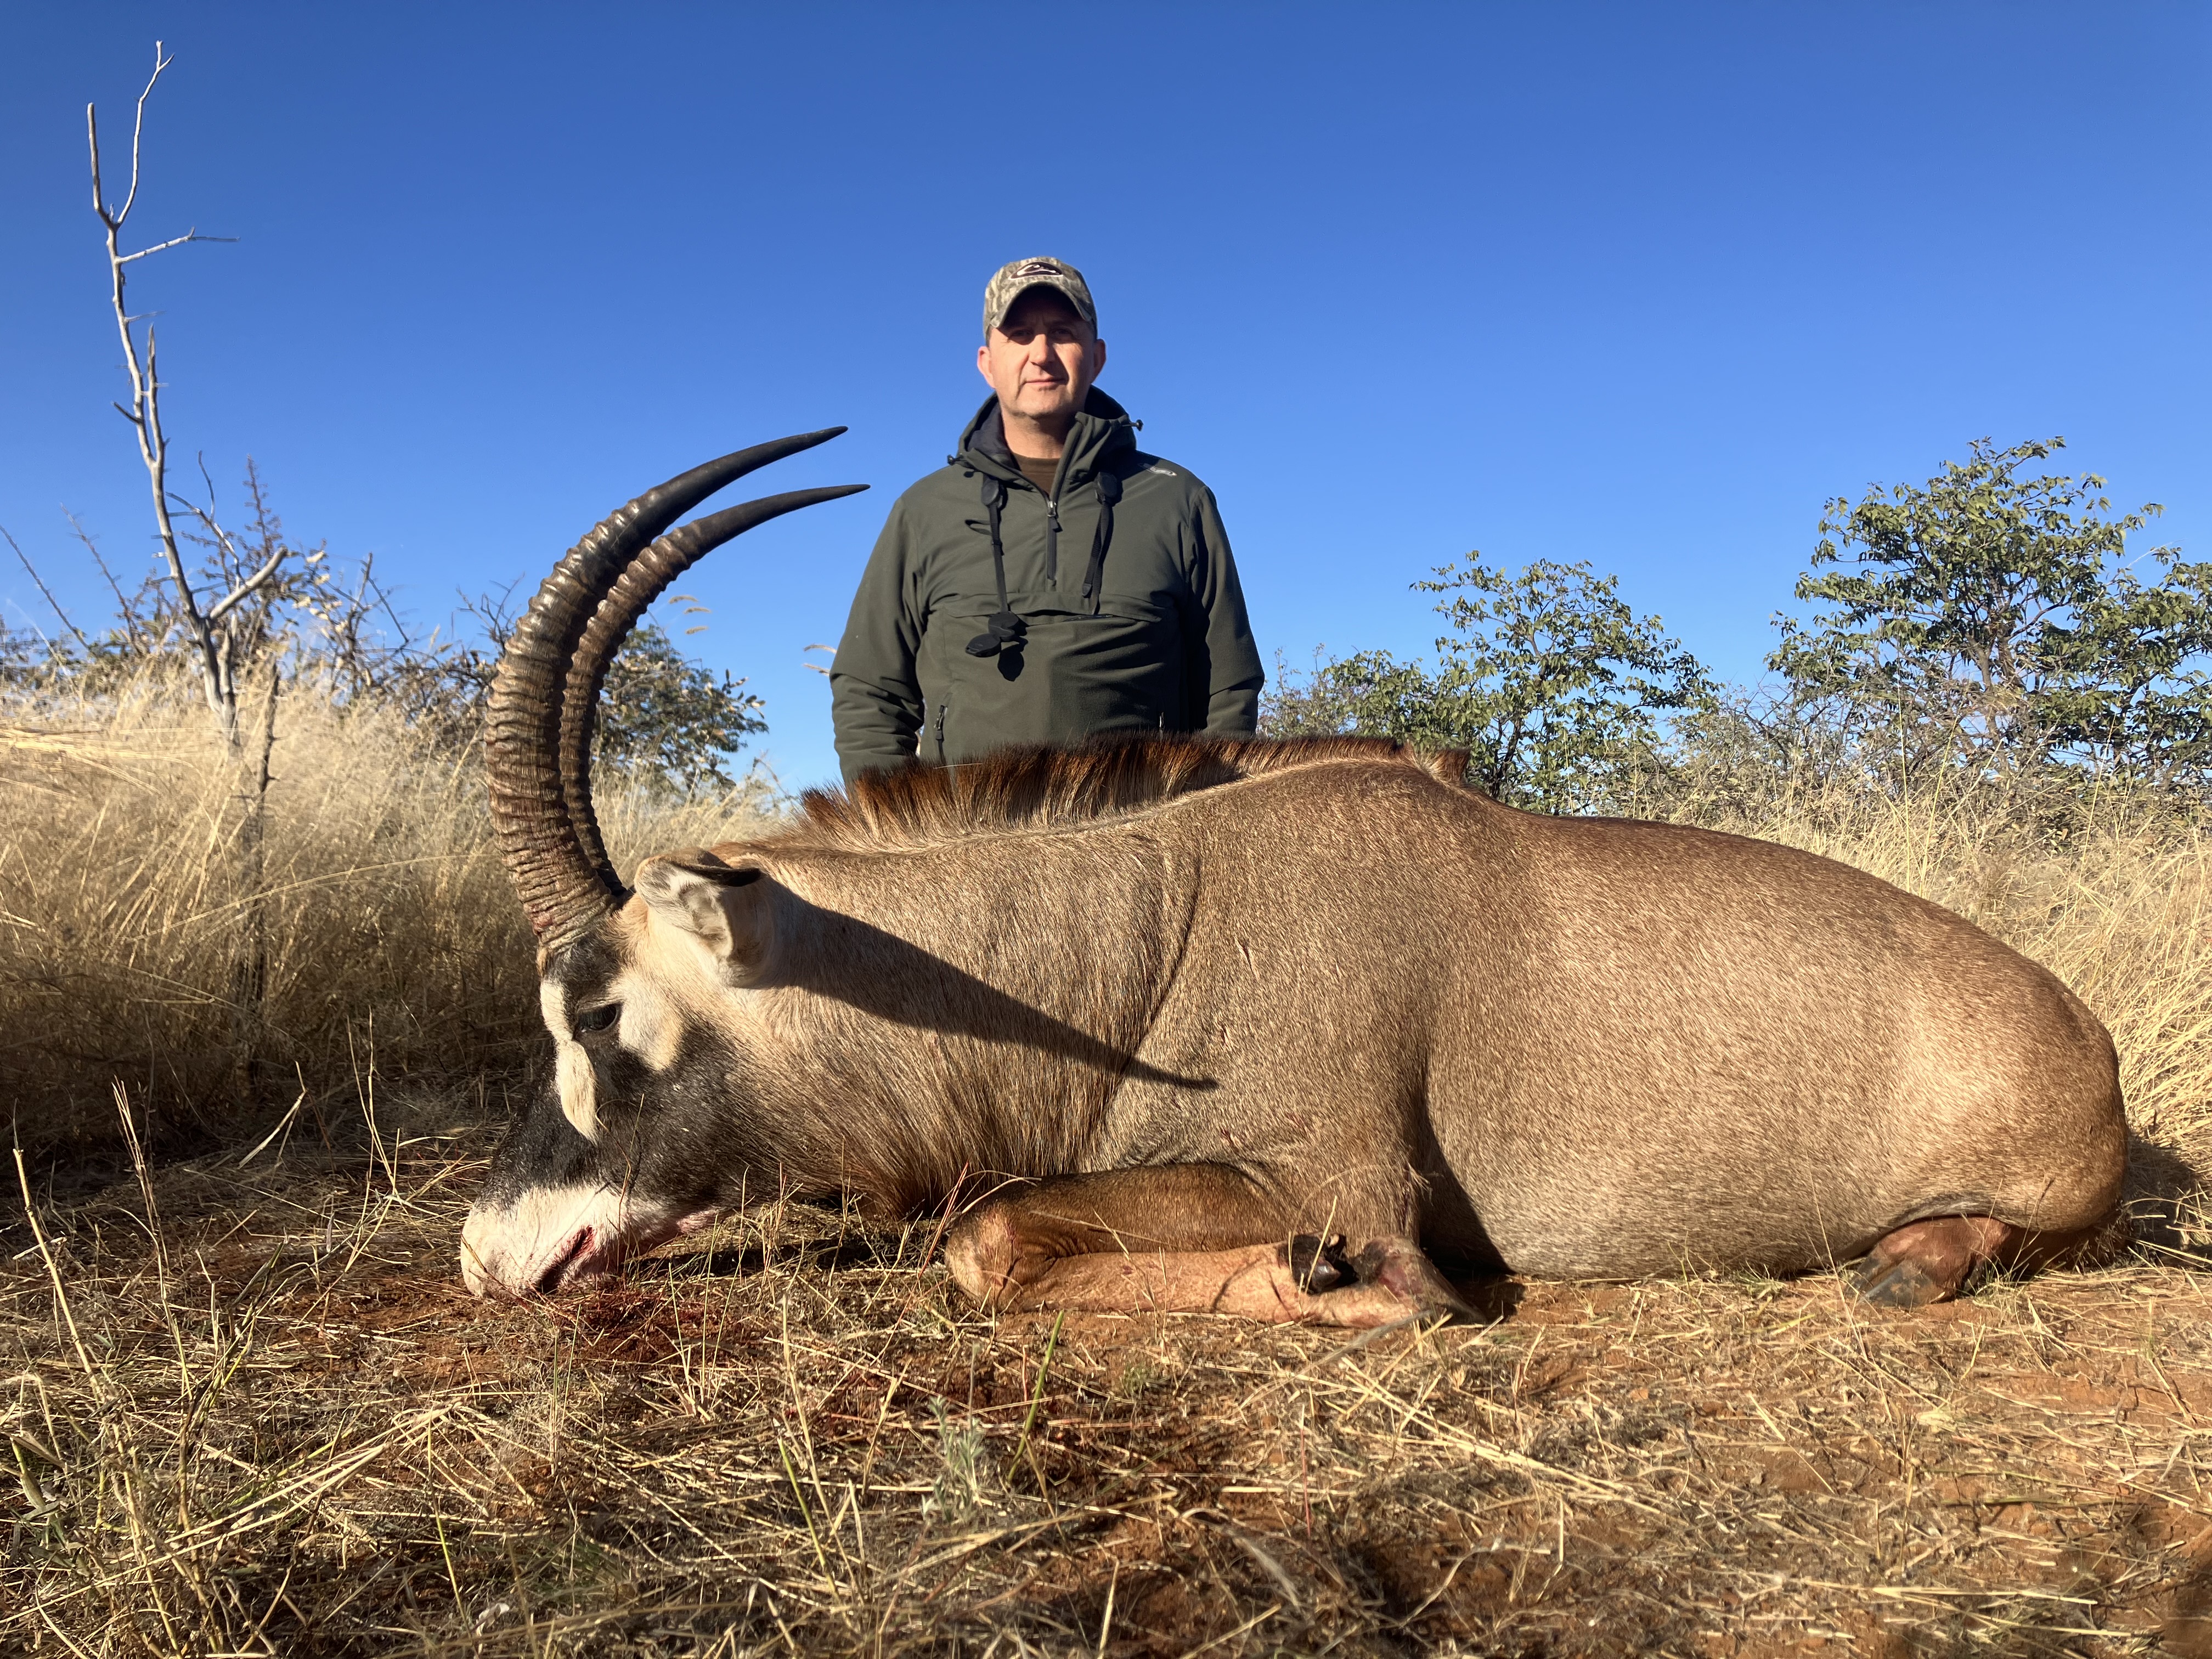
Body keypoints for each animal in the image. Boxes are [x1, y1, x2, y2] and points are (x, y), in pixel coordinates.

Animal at [461, 431, 2128, 1328]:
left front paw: (1332, 1285)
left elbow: (988, 1242)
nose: (489, 1253)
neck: (1136, 942)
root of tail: (2086, 1035)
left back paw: (1904, 1267)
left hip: (2045, 1197)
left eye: (599, 1013)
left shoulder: (1331, 1176)